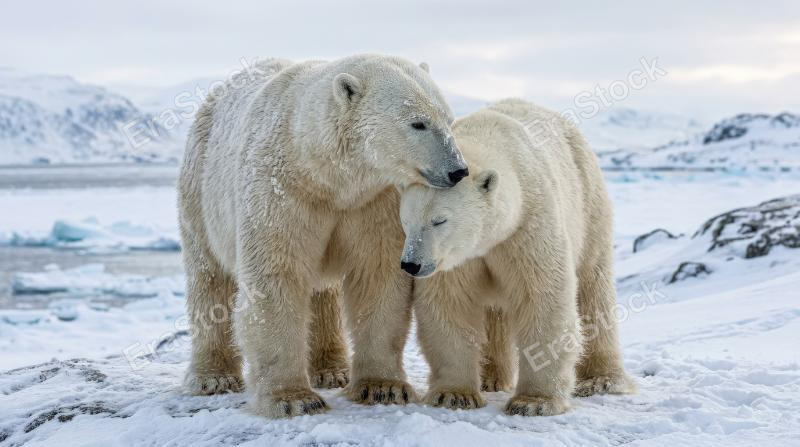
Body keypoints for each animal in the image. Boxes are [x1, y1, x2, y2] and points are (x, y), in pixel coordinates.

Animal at [177, 55, 469, 418]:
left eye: (449, 119)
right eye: (418, 123)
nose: (458, 170)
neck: (324, 173)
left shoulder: (374, 200)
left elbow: (378, 275)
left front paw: (382, 387)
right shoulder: (281, 190)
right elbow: (276, 276)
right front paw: (293, 398)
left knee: (323, 293)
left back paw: (332, 369)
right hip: (200, 190)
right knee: (209, 278)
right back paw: (213, 377)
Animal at [398, 98, 636, 416]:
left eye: (439, 220)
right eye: (406, 220)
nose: (411, 264)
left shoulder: (527, 226)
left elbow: (542, 296)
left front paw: (534, 402)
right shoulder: (458, 260)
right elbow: (449, 303)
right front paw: (455, 394)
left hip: (589, 202)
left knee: (592, 288)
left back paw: (601, 380)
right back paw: (492, 378)